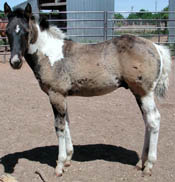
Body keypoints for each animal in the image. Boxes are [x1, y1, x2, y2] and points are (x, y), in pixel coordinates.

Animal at [3, 2, 171, 176]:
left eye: (26, 31)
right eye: (6, 31)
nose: (15, 62)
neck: (50, 53)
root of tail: (156, 47)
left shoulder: (55, 95)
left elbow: (59, 127)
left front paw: (60, 165)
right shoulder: (63, 96)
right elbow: (67, 123)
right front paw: (68, 159)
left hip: (144, 93)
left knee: (154, 121)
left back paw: (149, 166)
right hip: (138, 93)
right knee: (147, 122)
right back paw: (140, 163)